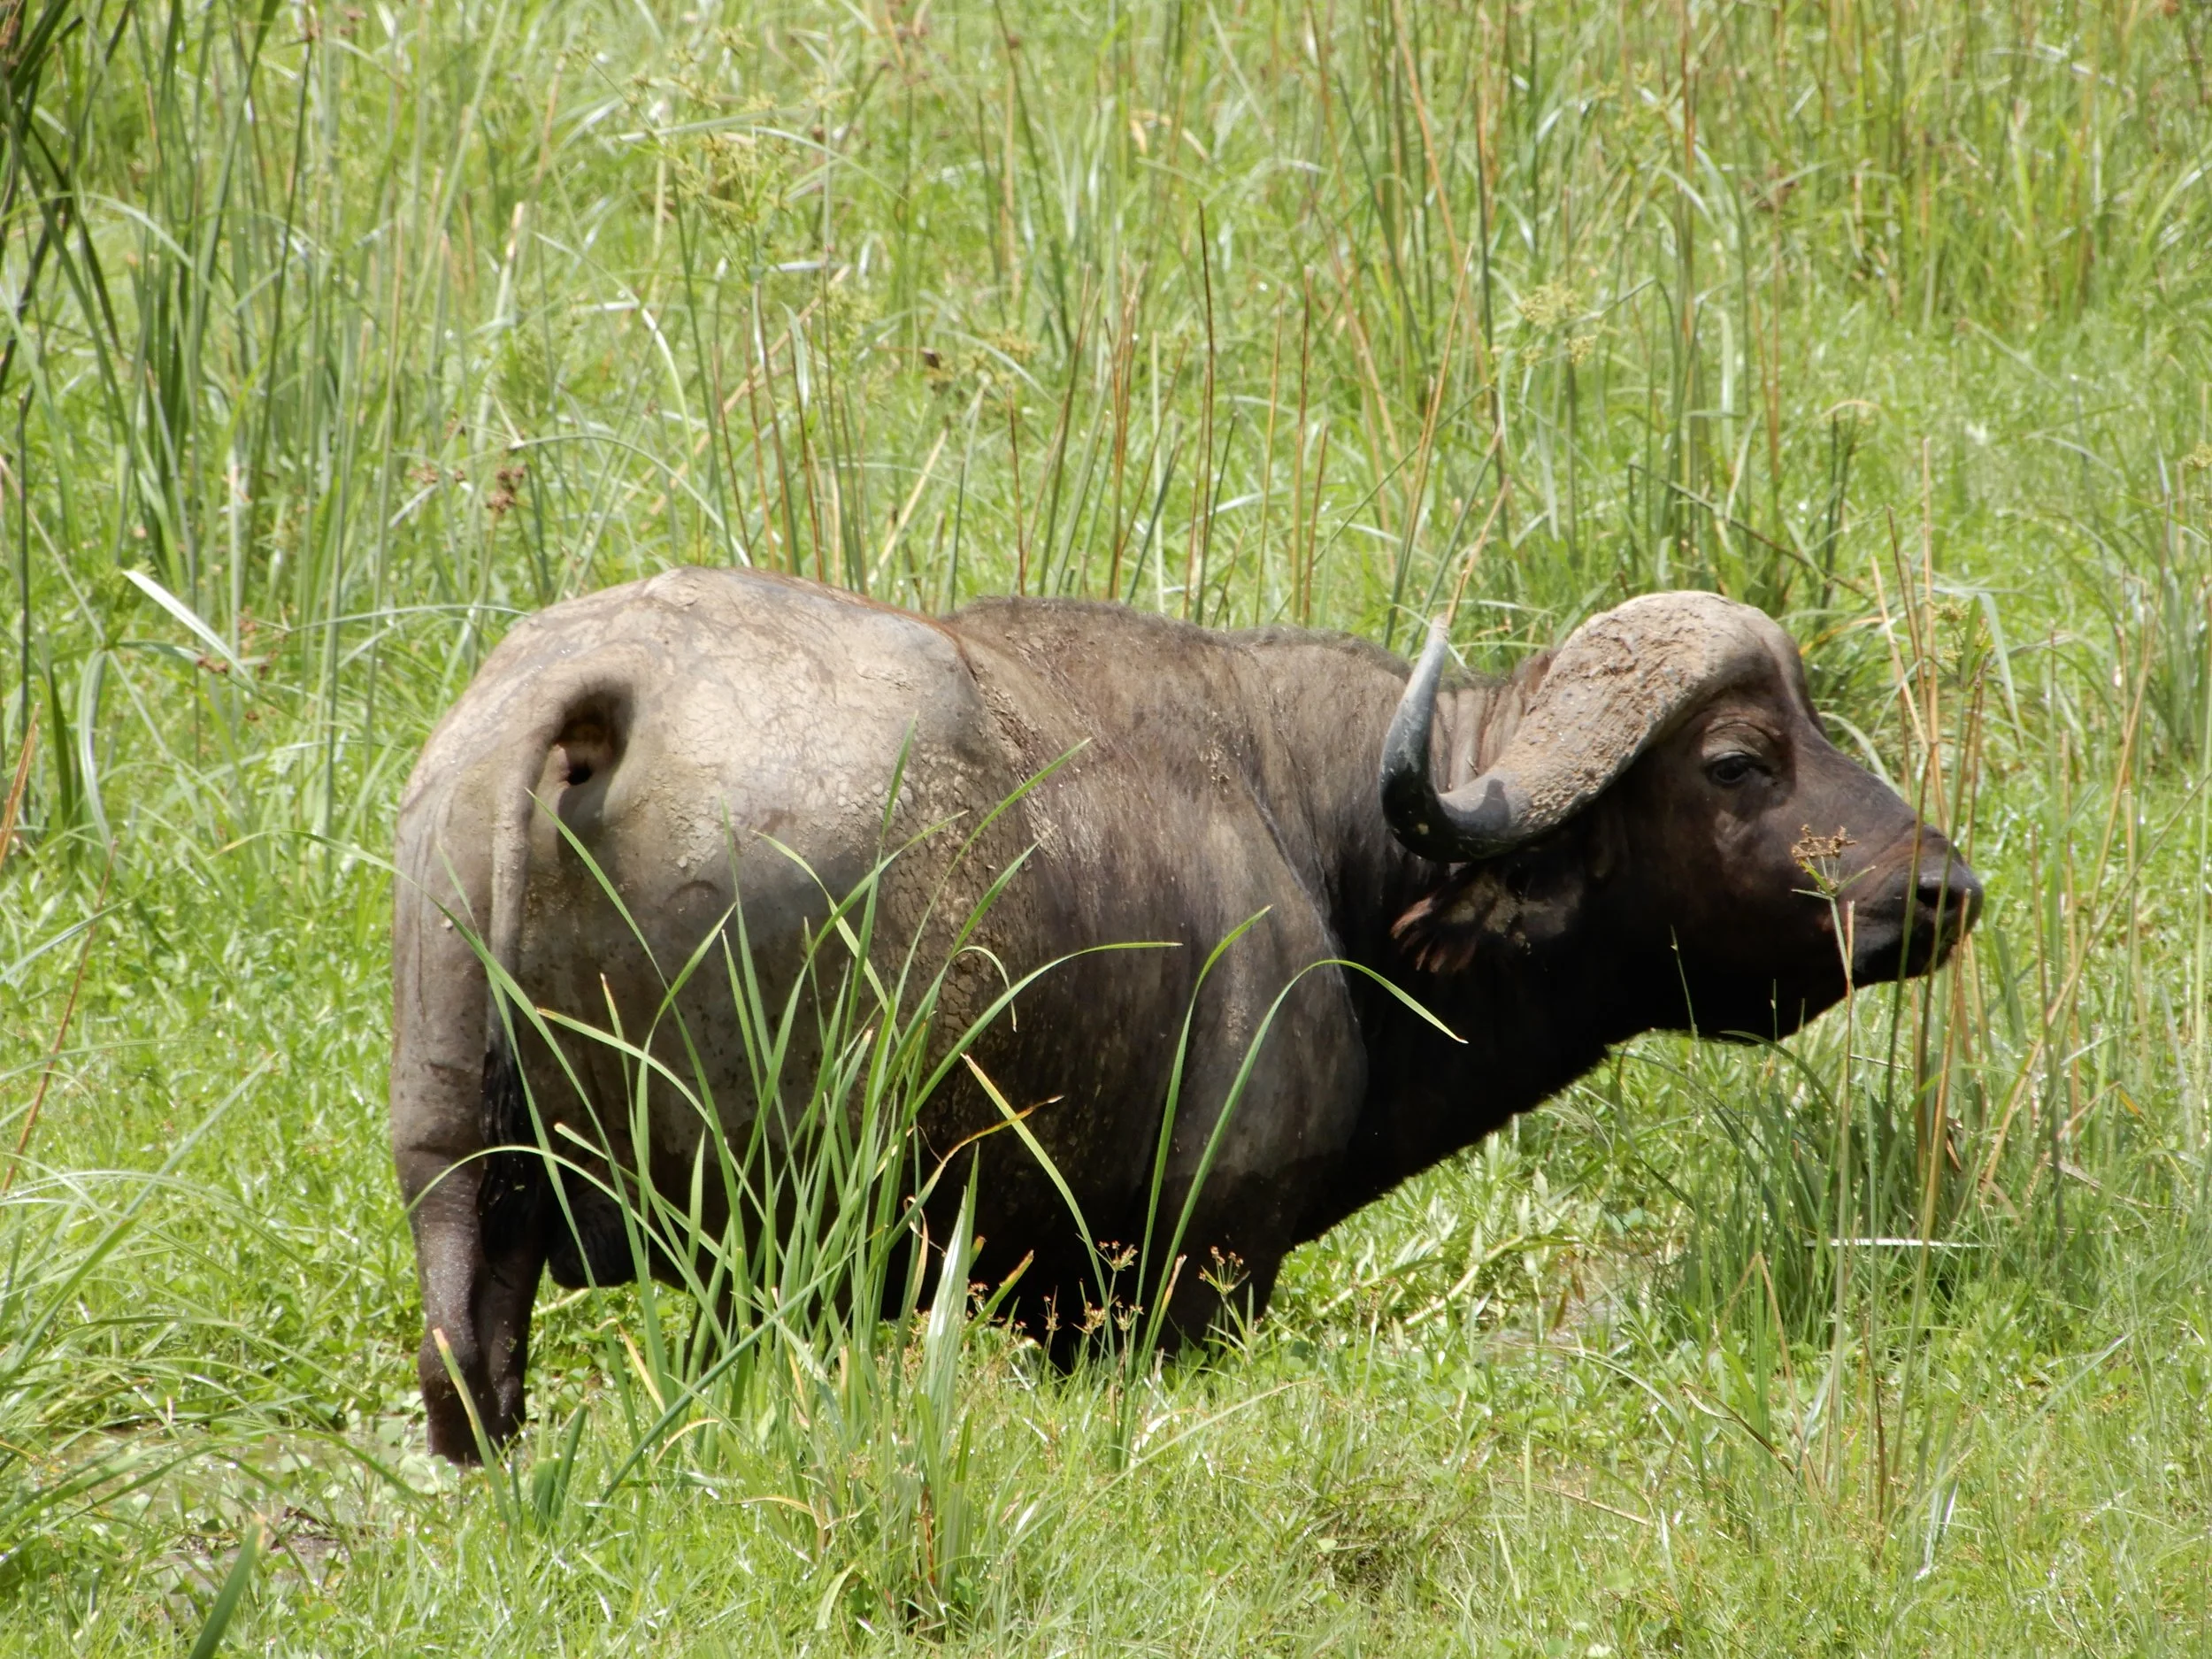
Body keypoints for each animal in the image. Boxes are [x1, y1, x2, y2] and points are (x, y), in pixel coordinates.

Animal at [391, 569, 1979, 1461]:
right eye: (1740, 759)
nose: (1942, 887)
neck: (1321, 837)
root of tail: (604, 698)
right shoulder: (1195, 1275)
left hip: (460, 1177)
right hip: (773, 1242)